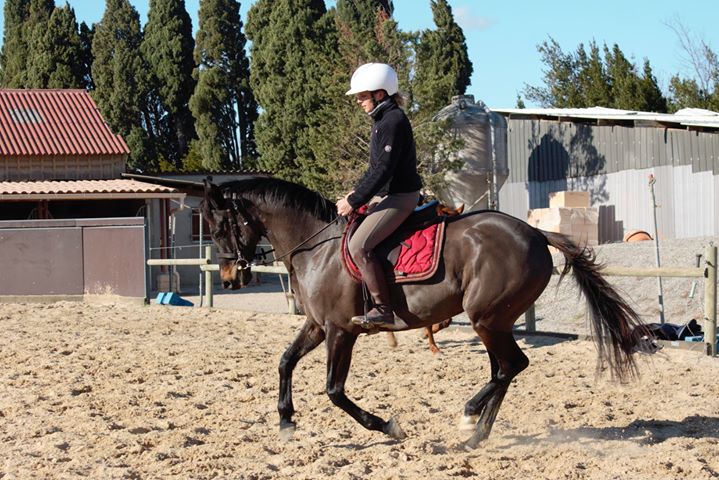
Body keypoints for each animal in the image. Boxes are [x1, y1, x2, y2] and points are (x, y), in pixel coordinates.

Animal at [200, 178, 648, 448]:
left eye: (220, 227)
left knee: (510, 366)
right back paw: (476, 434)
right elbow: (285, 361)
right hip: (494, 323)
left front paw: (386, 426)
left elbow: (334, 391)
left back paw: (469, 419)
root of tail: (536, 233)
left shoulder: (340, 330)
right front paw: (286, 422)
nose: (229, 279)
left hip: (486, 320)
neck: (316, 246)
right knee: (503, 369)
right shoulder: (317, 326)